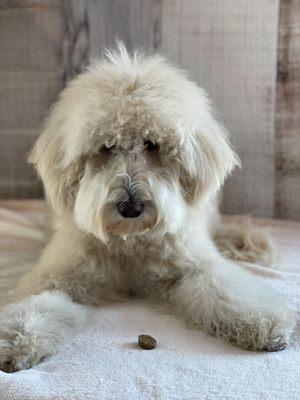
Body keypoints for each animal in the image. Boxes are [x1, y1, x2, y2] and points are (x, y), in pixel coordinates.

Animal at [0, 44, 296, 372]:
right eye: (107, 147)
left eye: (151, 144)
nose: (131, 207)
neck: (130, 241)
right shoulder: (56, 276)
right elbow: (34, 306)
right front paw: (17, 339)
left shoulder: (196, 265)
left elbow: (226, 290)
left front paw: (265, 322)